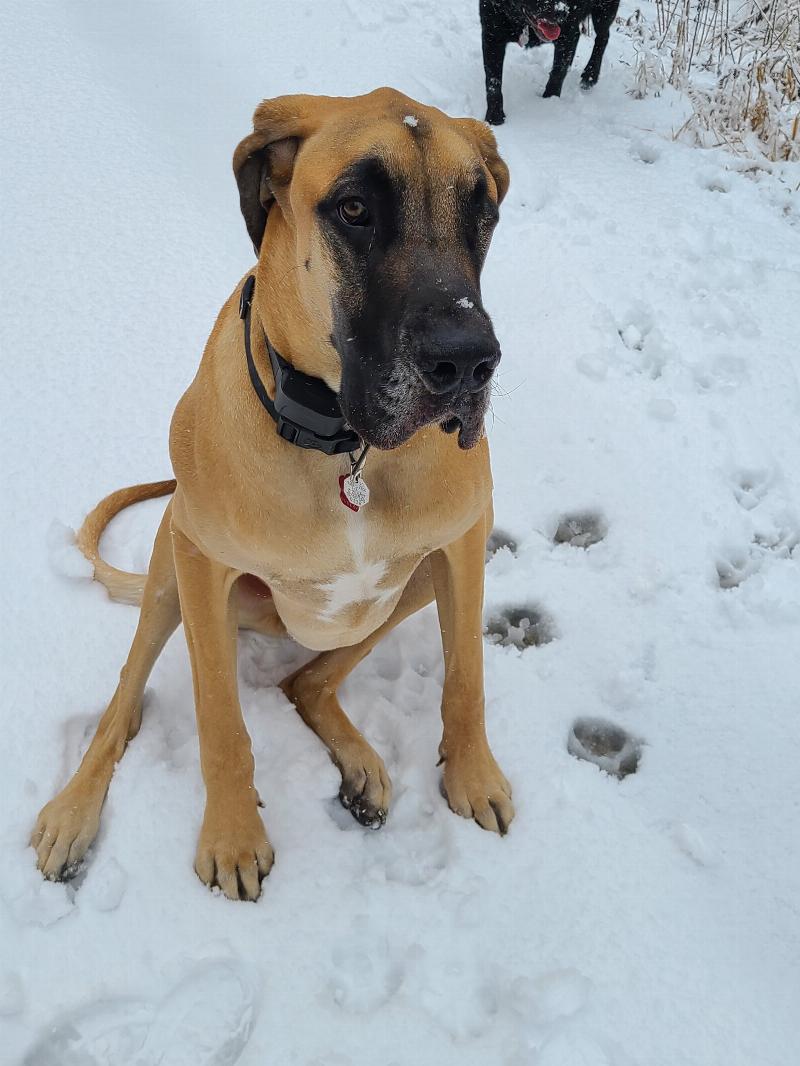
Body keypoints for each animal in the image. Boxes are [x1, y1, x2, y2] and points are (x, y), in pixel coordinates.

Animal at [31, 88, 514, 901]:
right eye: (353, 209)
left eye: (482, 211)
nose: (469, 363)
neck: (344, 446)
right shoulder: (201, 565)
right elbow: (221, 722)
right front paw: (232, 835)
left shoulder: (463, 544)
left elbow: (469, 678)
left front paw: (473, 773)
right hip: (171, 565)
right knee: (123, 703)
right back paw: (73, 810)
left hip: (411, 583)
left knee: (307, 681)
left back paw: (358, 763)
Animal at [480, 0, 620, 123]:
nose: (562, 12)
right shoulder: (492, 36)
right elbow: (493, 82)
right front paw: (495, 116)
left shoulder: (569, 35)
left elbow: (558, 73)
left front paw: (549, 101)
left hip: (604, 10)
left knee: (603, 37)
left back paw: (590, 75)